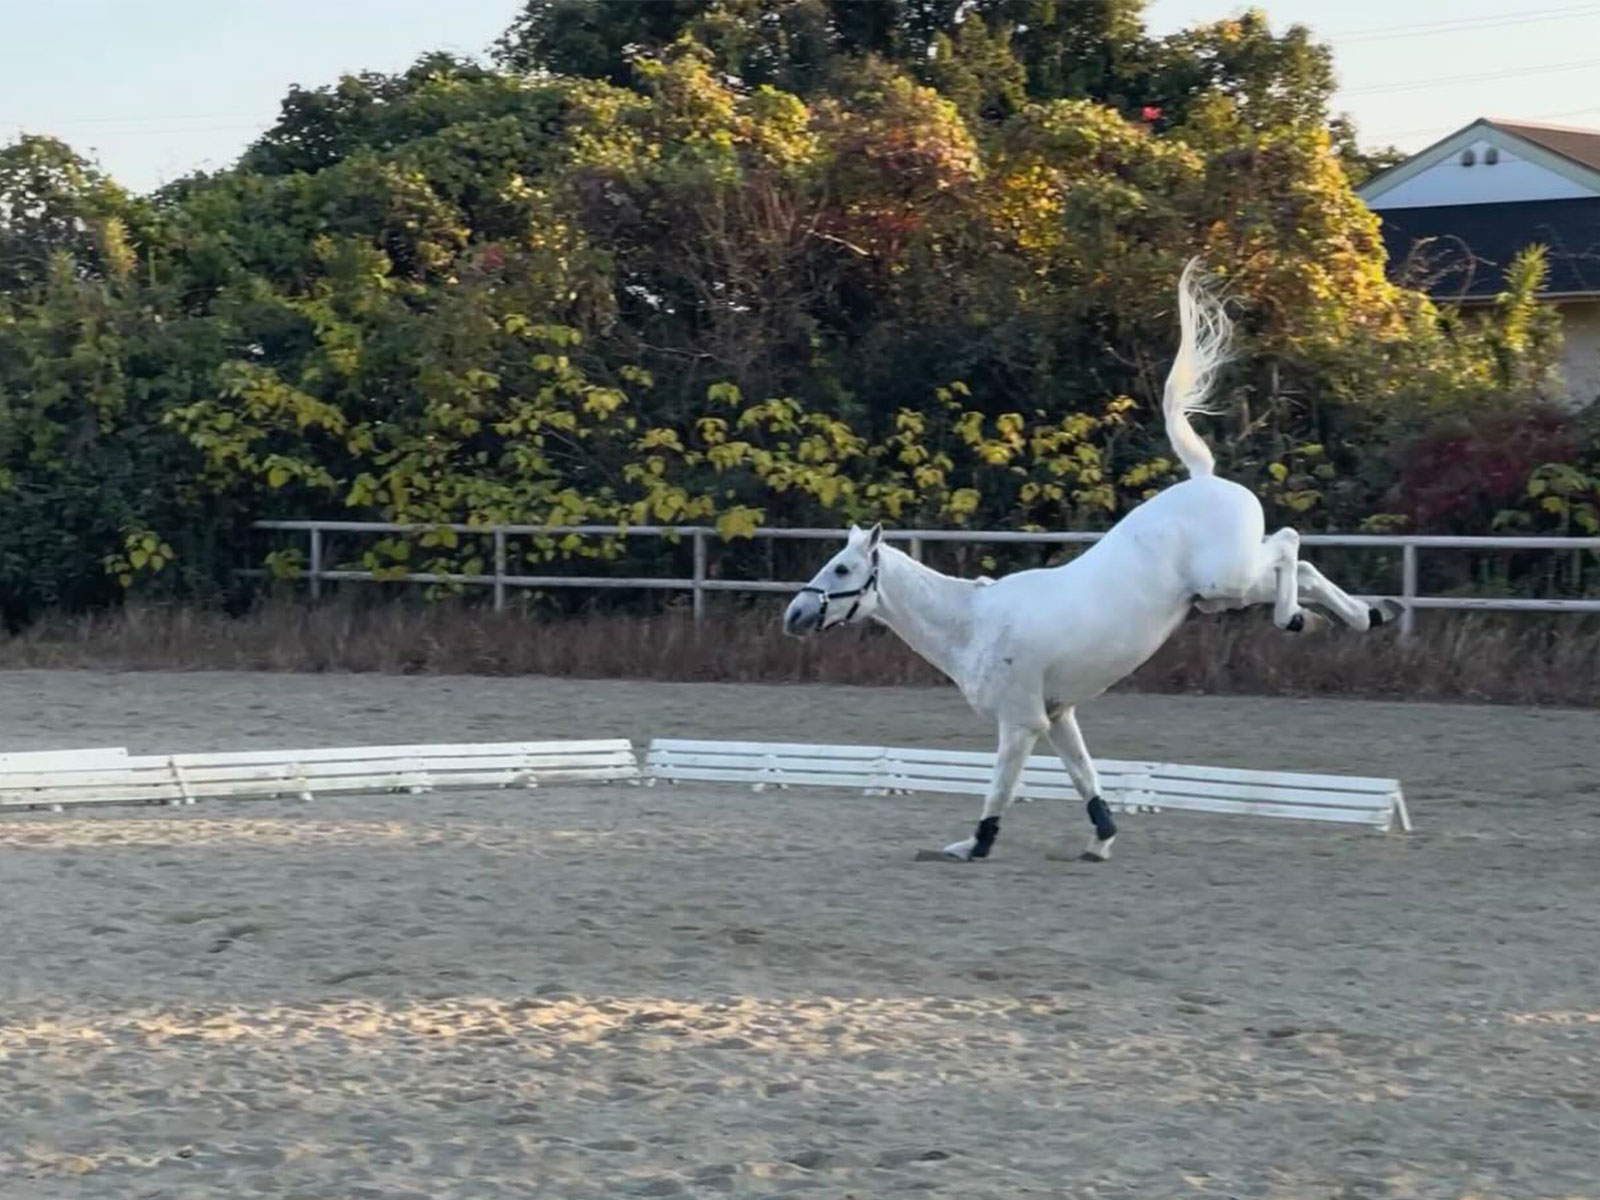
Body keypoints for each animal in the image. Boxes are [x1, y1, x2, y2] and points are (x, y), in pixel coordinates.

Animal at [782, 260, 1399, 863]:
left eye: (842, 569)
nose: (794, 616)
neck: (973, 626)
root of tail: (1204, 479)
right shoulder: (1057, 716)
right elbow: (1085, 778)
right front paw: (1100, 840)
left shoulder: (1021, 722)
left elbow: (1000, 787)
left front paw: (974, 845)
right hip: (1224, 593)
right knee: (1304, 570)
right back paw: (1362, 615)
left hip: (1228, 580)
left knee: (1290, 545)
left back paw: (1301, 618)